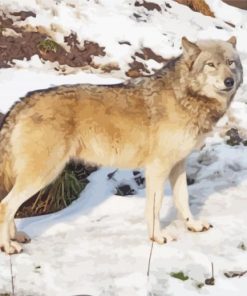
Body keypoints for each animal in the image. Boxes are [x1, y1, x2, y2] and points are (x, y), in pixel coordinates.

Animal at [0, 36, 243, 254]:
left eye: (230, 63)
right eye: (211, 65)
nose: (229, 81)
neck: (185, 97)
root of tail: (20, 102)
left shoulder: (178, 164)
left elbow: (183, 199)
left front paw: (193, 225)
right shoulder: (157, 168)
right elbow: (154, 207)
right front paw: (157, 237)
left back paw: (16, 237)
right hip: (44, 174)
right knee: (5, 206)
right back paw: (8, 247)